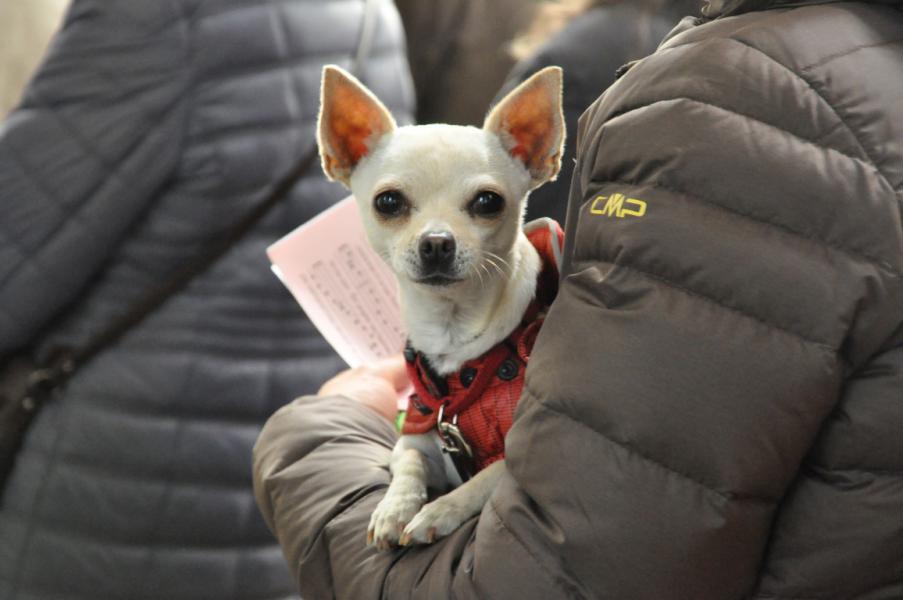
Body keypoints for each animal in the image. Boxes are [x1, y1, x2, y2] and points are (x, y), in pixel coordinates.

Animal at [318, 64, 564, 548]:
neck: (454, 339)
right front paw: (394, 508)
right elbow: (409, 465)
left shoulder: (514, 457)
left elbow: (484, 478)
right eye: (388, 201)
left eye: (488, 202)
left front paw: (437, 511)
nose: (436, 242)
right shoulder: (417, 431)